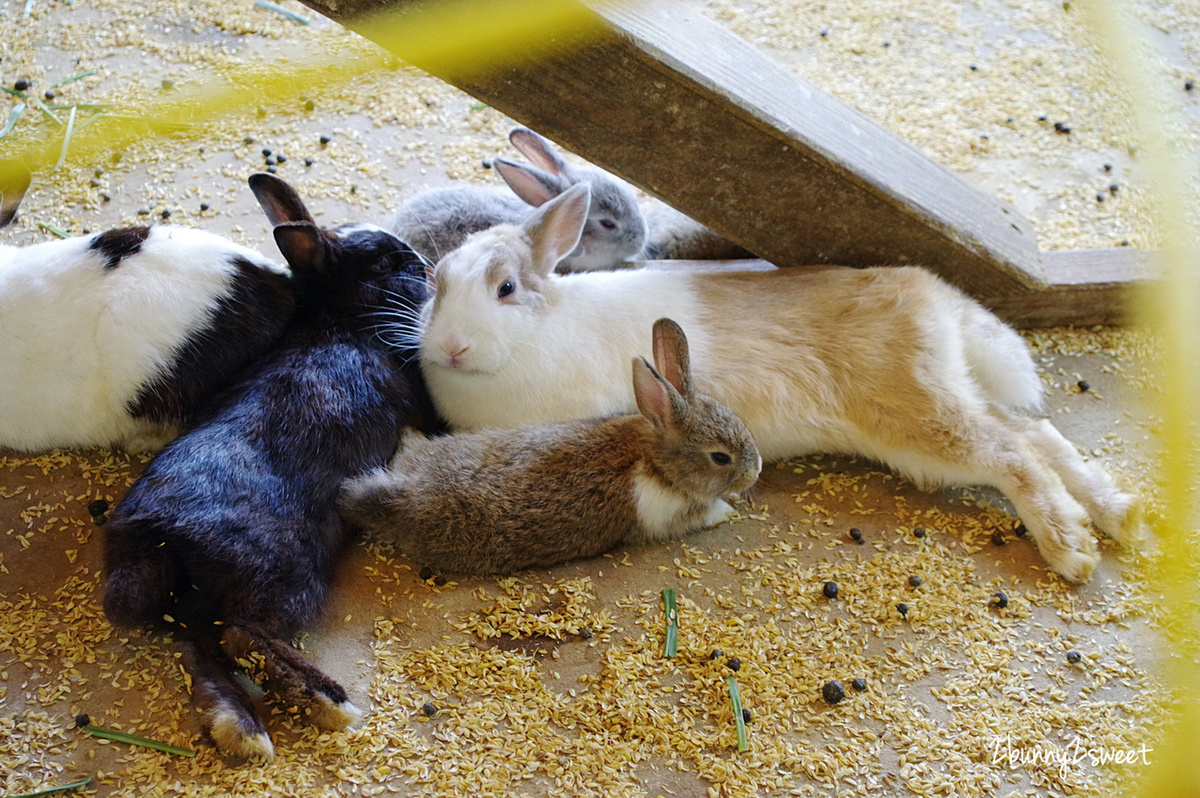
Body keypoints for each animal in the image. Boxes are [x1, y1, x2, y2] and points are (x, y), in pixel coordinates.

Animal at [98, 171, 436, 758]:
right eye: (385, 263)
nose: (424, 267)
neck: (344, 320)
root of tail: (159, 538)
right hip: (286, 570)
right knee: (239, 634)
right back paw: (329, 703)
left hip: (196, 607)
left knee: (199, 652)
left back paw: (242, 730)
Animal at [410, 184, 1142, 585]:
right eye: (435, 281)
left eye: (505, 288)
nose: (449, 347)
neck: (535, 335)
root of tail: (926, 291)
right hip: (935, 409)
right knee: (1034, 433)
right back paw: (1118, 514)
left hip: (917, 420)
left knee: (1012, 454)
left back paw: (1072, 551)